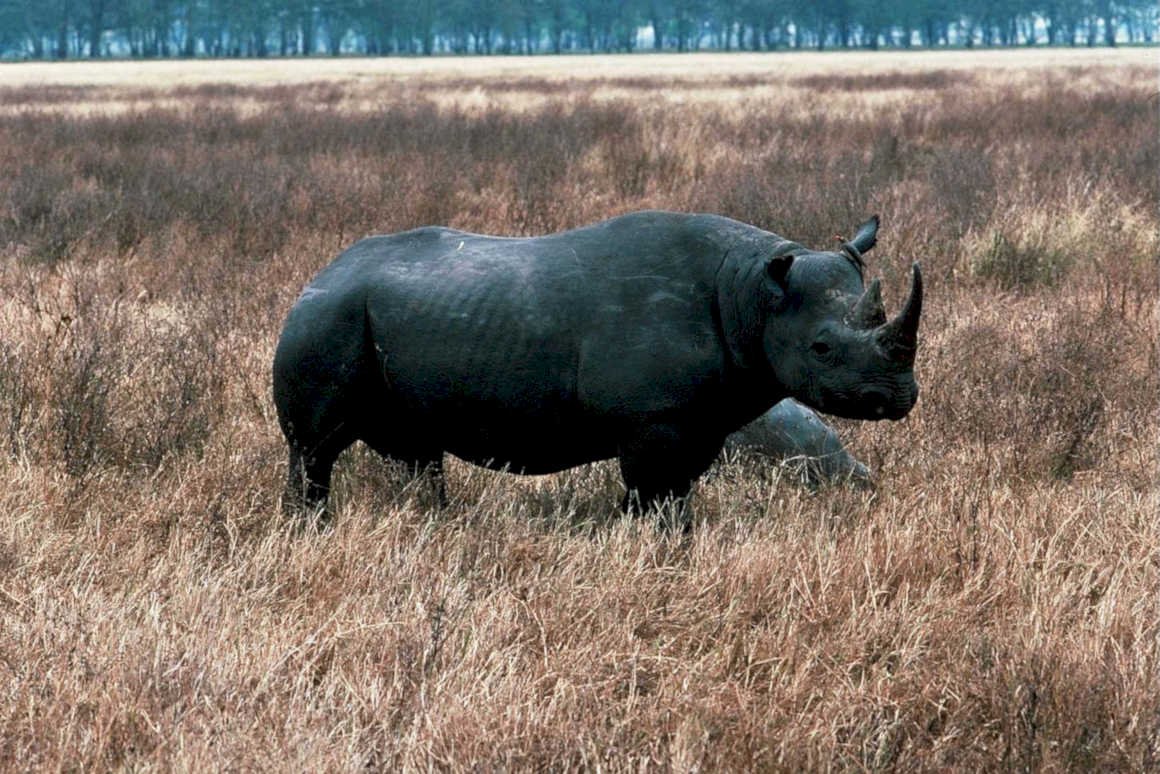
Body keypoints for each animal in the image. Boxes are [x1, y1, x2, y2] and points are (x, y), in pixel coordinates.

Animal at [273, 210, 921, 525]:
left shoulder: (698, 421)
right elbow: (652, 498)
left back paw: (433, 524)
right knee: (314, 448)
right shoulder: (652, 422)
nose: (897, 397)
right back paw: (310, 529)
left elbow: (673, 495)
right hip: (326, 317)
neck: (751, 293)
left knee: (417, 452)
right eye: (822, 349)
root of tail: (321, 272)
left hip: (371, 315)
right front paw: (654, 554)